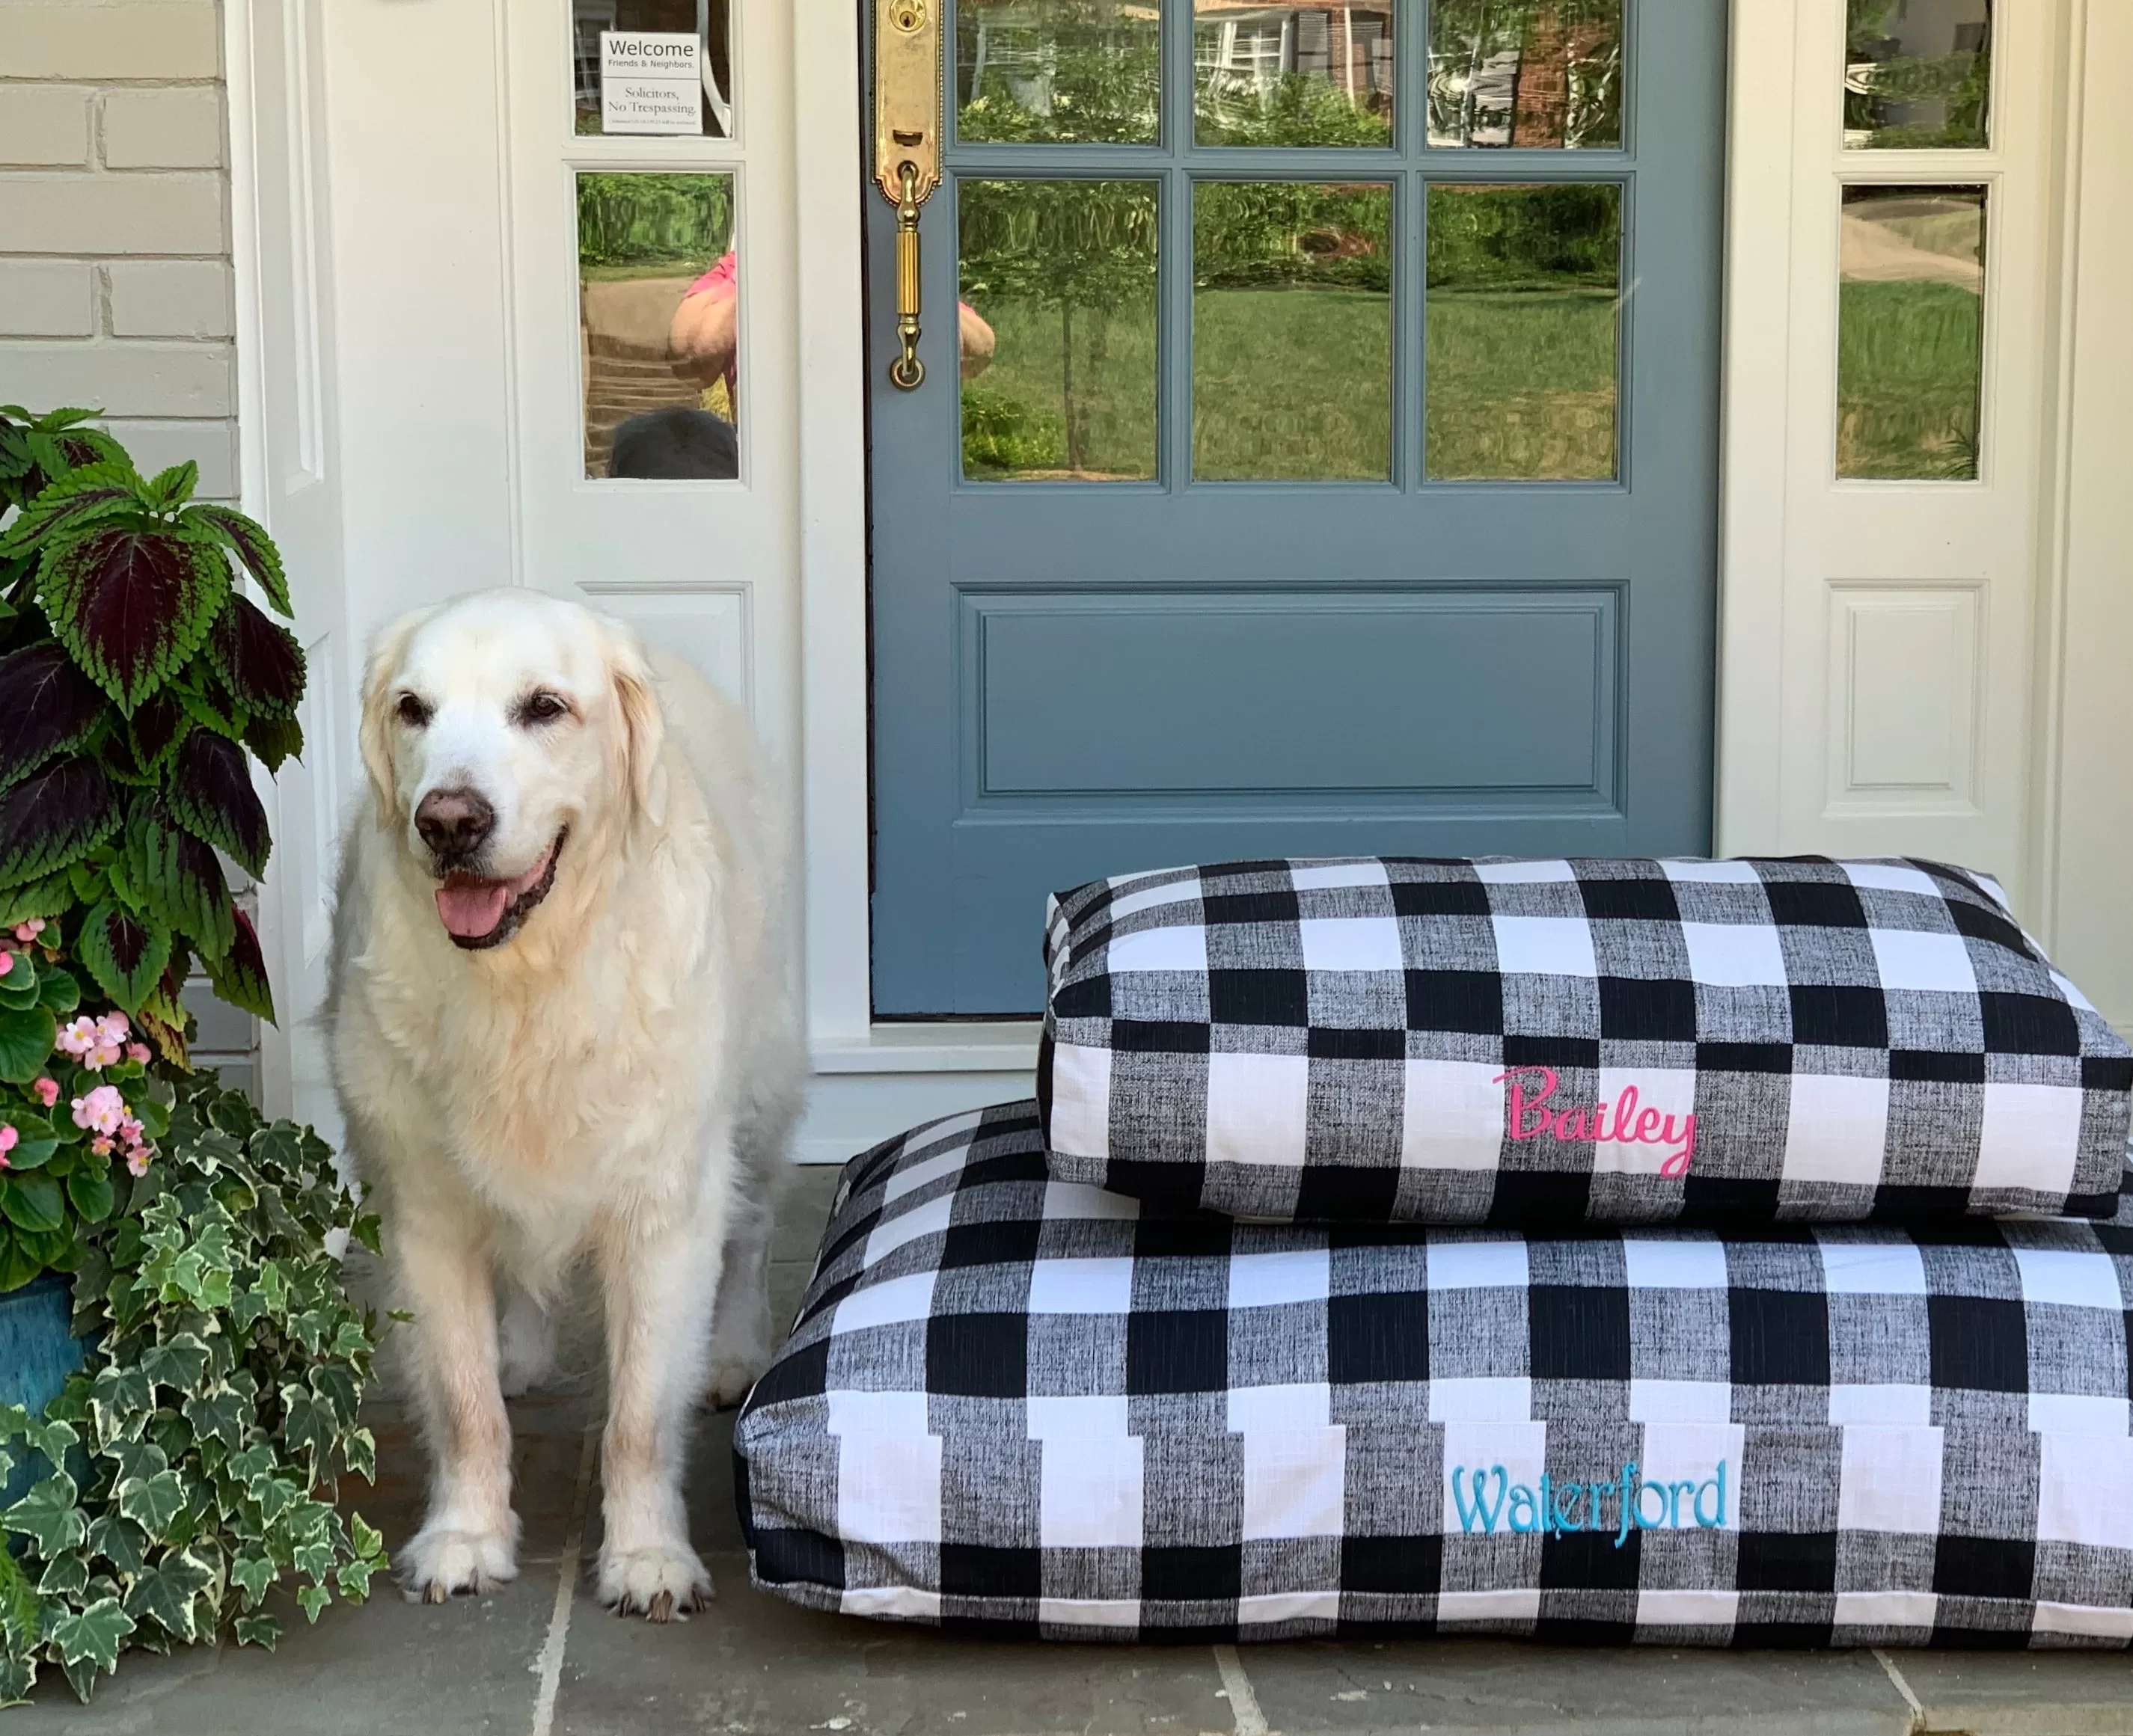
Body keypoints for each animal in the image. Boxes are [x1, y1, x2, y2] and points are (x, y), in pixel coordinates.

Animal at [324, 592, 801, 1621]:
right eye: (412, 708)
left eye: (545, 707)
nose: (447, 821)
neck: (526, 984)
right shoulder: (424, 1209)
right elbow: (464, 1403)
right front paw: (465, 1535)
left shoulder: (664, 1206)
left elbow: (639, 1414)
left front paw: (649, 1555)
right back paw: (521, 1350)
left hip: (760, 1091)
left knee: (750, 1230)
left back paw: (733, 1351)